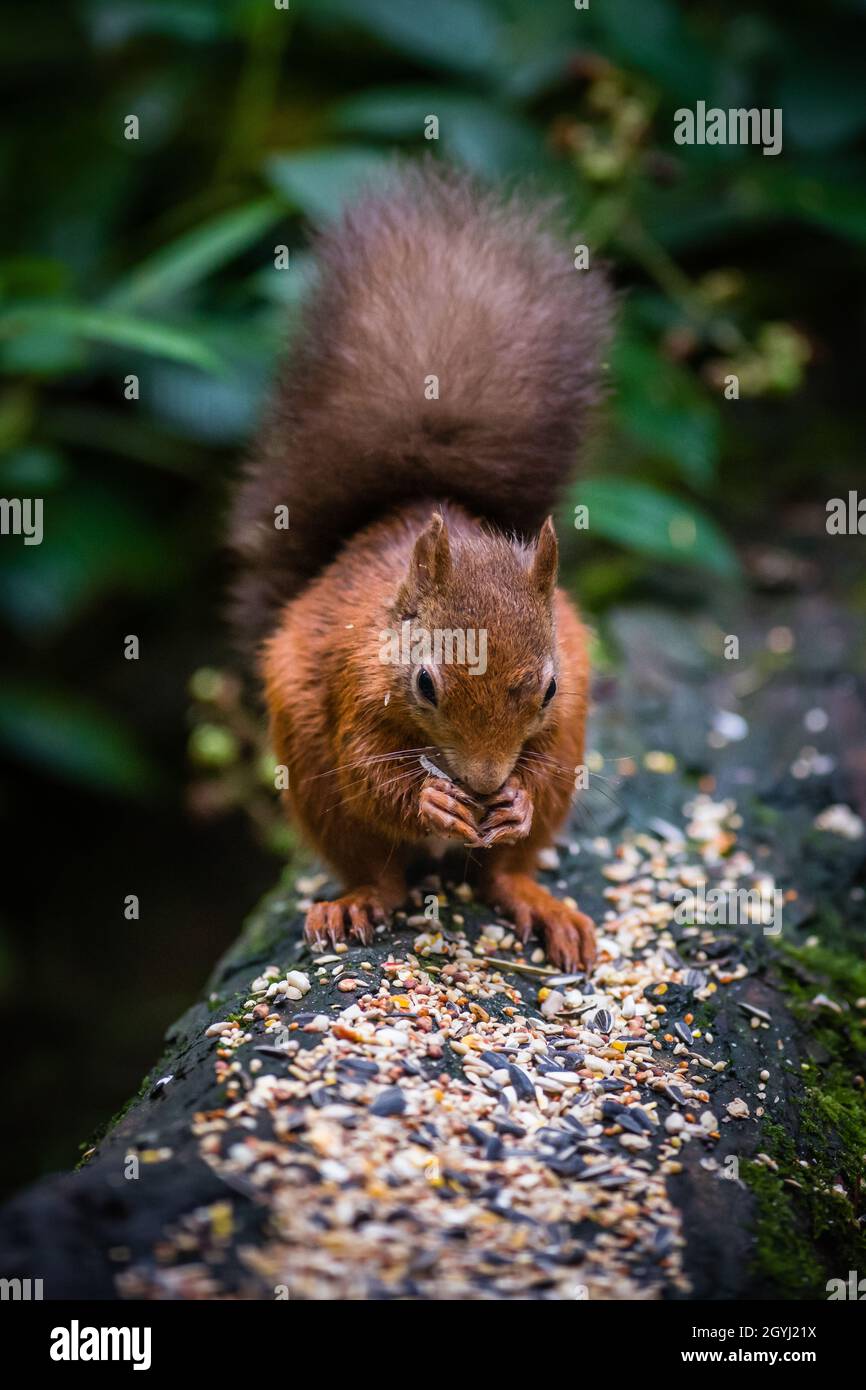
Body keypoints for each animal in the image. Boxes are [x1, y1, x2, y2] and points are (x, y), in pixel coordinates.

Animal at [231, 164, 612, 971]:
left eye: (549, 686)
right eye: (426, 684)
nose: (483, 782)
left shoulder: (562, 706)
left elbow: (536, 775)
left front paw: (514, 798)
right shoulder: (350, 679)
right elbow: (368, 770)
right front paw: (431, 798)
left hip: (571, 748)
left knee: (506, 870)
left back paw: (538, 901)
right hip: (309, 768)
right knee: (374, 863)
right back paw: (357, 901)